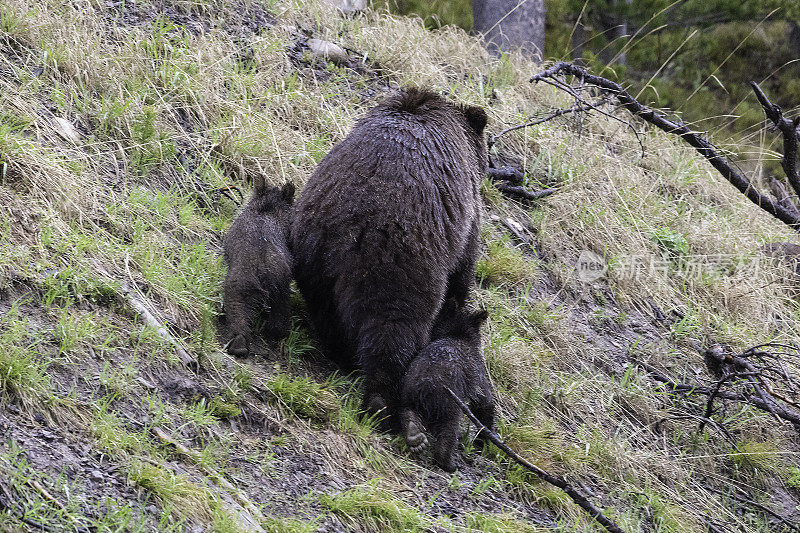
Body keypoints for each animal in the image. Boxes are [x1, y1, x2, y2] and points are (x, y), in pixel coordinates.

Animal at [223, 180, 296, 358]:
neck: (267, 209)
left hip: (243, 280)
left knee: (237, 305)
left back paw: (239, 344)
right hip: (279, 283)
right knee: (280, 309)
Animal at [290, 88, 488, 420]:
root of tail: (346, 231)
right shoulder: (465, 213)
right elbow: (463, 267)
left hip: (312, 256)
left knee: (328, 314)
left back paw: (343, 355)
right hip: (399, 263)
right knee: (393, 329)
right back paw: (385, 404)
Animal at [400, 302, 494, 472]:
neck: (457, 334)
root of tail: (425, 383)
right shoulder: (478, 372)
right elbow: (484, 402)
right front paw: (485, 440)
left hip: (408, 390)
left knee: (408, 409)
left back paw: (414, 434)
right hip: (449, 400)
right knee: (449, 427)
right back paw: (449, 462)